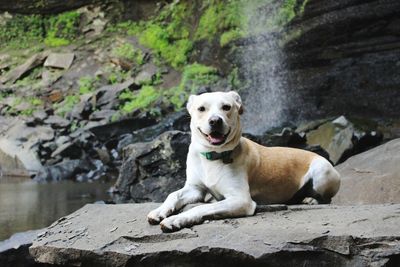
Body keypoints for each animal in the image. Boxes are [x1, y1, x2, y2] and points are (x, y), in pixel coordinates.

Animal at [148, 91, 340, 232]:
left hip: (322, 171)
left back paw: (312, 200)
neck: (213, 157)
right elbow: (173, 194)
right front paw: (159, 211)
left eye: (226, 107)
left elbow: (200, 208)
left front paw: (176, 220)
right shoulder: (195, 189)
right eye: (201, 108)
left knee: (327, 199)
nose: (215, 121)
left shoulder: (240, 200)